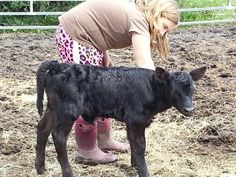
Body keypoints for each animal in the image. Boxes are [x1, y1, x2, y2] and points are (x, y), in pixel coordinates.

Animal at [34, 60, 206, 177]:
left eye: (193, 89)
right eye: (173, 90)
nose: (190, 109)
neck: (150, 87)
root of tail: (58, 66)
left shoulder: (133, 122)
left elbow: (132, 142)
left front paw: (134, 165)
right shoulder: (136, 120)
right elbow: (140, 145)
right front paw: (143, 171)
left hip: (53, 108)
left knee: (42, 129)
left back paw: (40, 167)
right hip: (68, 110)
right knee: (58, 136)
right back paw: (68, 172)